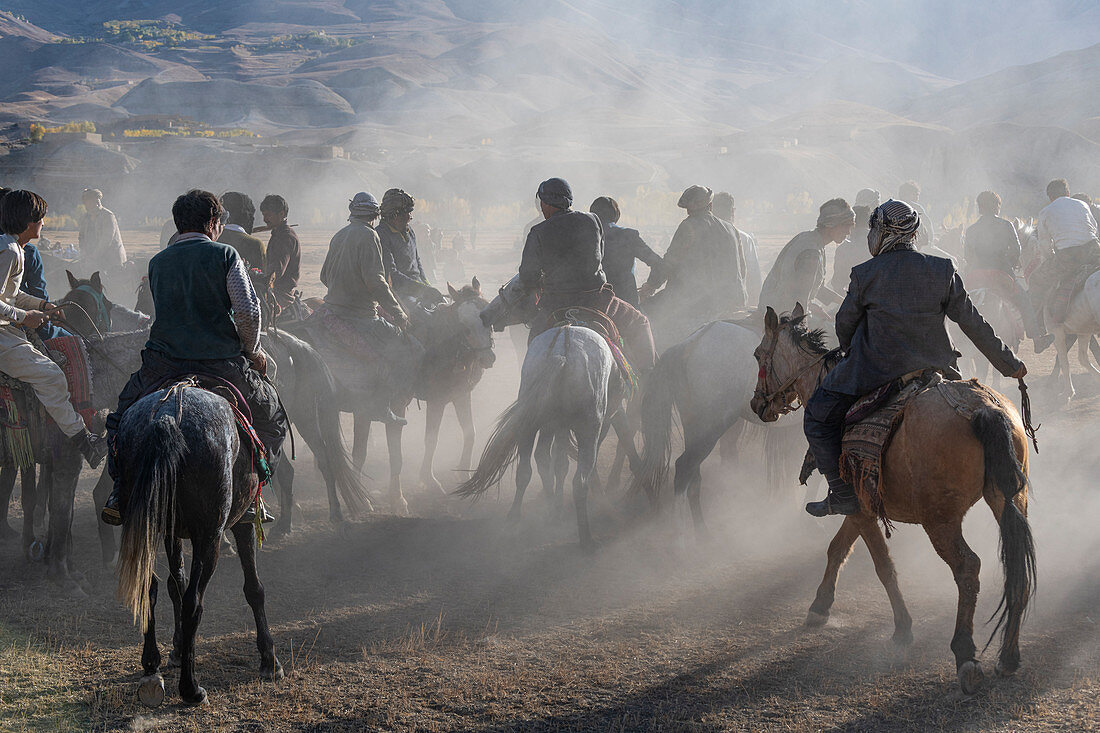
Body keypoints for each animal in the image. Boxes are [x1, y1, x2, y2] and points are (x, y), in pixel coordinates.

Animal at [455, 325, 629, 548]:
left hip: (530, 423)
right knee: (579, 481)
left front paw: (556, 506)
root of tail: (562, 353)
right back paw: (586, 537)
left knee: (526, 470)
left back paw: (519, 517)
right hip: (589, 428)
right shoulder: (598, 425)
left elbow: (558, 464)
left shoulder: (558, 427)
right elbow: (567, 466)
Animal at [752, 305, 1034, 695]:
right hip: (1009, 499)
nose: (757, 404)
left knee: (967, 568)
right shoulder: (858, 505)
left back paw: (966, 655)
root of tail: (981, 409)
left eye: (758, 355)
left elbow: (882, 566)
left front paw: (903, 628)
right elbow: (838, 548)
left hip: (940, 520)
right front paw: (820, 606)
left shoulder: (862, 508)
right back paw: (1008, 657)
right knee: (1017, 567)